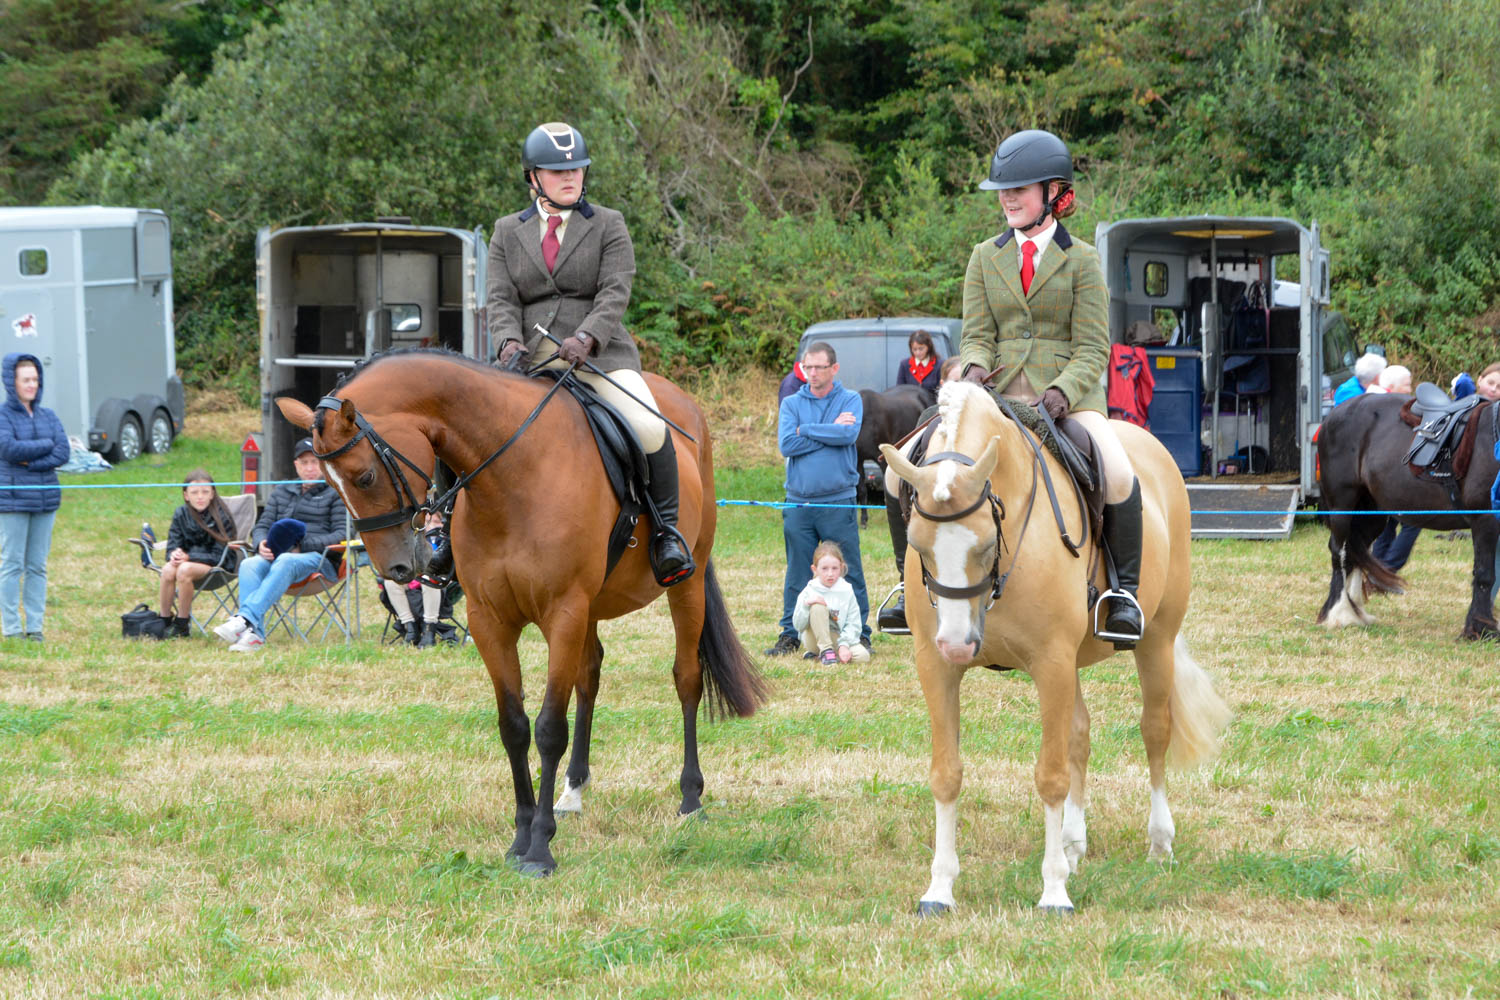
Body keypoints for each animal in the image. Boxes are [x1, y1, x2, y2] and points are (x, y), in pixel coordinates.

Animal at [276, 347, 767, 876]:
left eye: (364, 476)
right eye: (331, 484)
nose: (397, 568)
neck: (512, 476)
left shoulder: (563, 611)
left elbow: (550, 728)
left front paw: (539, 849)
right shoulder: (491, 620)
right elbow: (513, 726)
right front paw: (519, 837)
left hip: (686, 585)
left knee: (686, 678)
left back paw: (690, 799)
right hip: (592, 606)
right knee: (589, 677)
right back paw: (573, 792)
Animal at [880, 381, 1230, 914]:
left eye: (985, 544)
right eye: (917, 545)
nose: (958, 645)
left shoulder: (1051, 662)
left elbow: (1050, 776)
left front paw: (1054, 892)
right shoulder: (936, 665)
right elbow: (946, 773)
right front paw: (939, 888)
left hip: (1156, 640)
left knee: (1155, 731)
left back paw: (1159, 842)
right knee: (1079, 736)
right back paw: (1072, 844)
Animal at [1315, 390, 1500, 638]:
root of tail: (1333, 414)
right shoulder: (1485, 519)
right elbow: (1484, 575)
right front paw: (1480, 630)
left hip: (1370, 512)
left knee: (1356, 550)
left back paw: (1357, 613)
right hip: (1341, 507)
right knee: (1340, 553)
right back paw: (1340, 614)